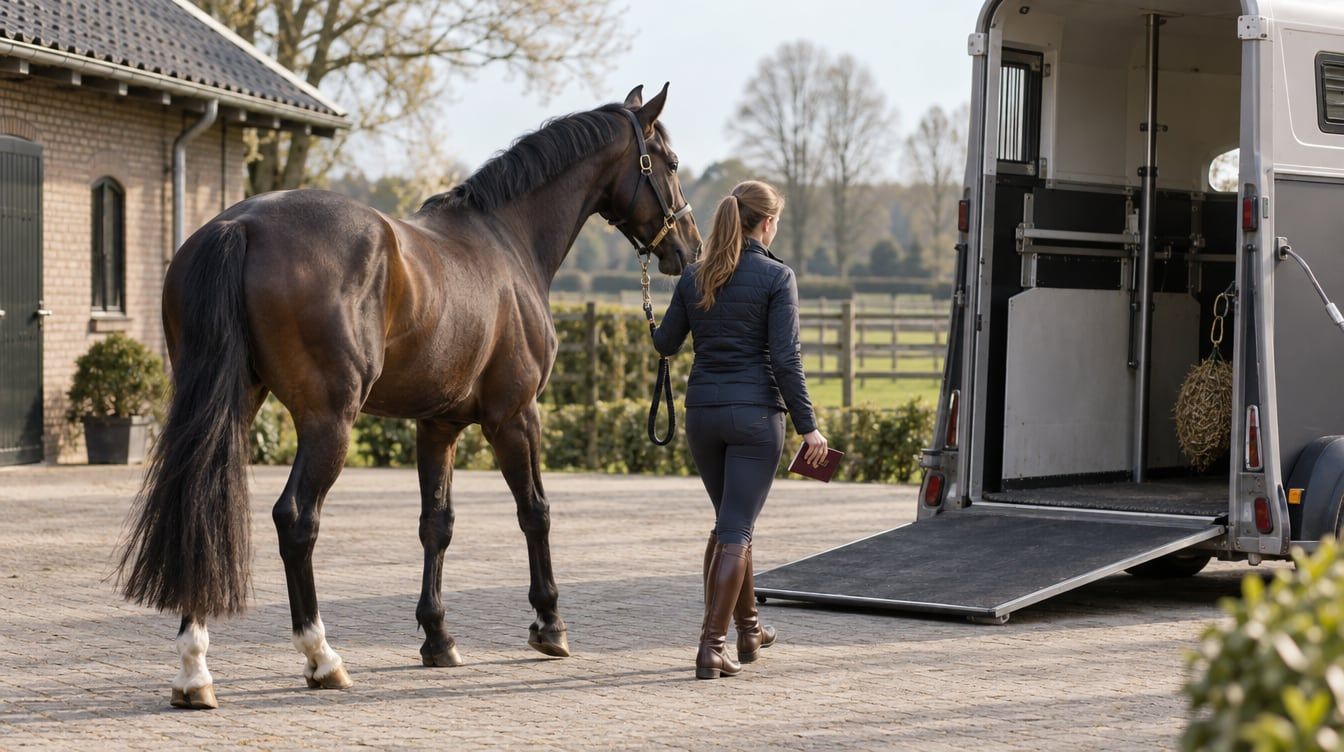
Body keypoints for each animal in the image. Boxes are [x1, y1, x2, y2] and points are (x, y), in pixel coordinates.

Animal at [113, 84, 700, 709]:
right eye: (670, 163)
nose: (690, 248)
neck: (508, 241)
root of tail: (241, 226)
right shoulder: (515, 416)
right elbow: (534, 512)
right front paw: (550, 626)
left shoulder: (437, 425)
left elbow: (435, 524)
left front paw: (438, 637)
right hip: (329, 421)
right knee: (296, 519)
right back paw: (321, 657)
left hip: (231, 404)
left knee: (200, 505)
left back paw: (194, 671)